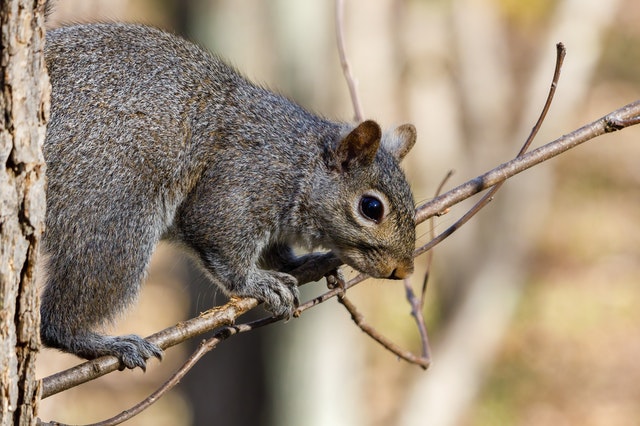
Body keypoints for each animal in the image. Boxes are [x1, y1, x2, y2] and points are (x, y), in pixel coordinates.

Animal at [40, 22, 417, 370]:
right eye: (371, 207)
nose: (403, 271)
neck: (299, 162)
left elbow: (276, 252)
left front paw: (300, 263)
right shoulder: (237, 185)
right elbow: (219, 243)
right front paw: (258, 283)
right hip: (112, 212)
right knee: (57, 321)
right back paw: (99, 342)